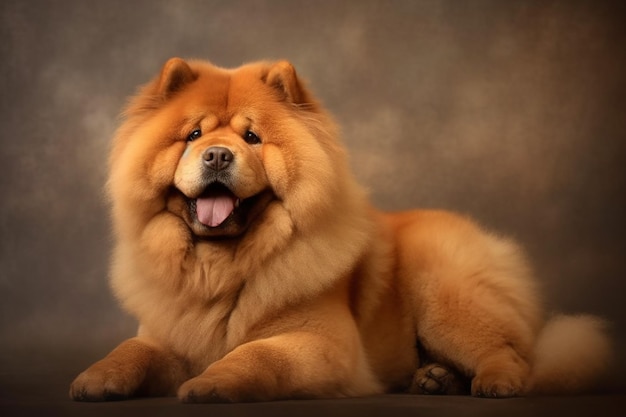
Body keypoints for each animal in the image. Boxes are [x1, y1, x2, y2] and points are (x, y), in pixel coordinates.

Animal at [69, 57, 608, 400]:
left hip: (445, 300)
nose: (218, 155)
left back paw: (495, 382)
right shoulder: (166, 334)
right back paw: (435, 380)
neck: (220, 268)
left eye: (252, 137)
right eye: (194, 134)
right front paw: (97, 378)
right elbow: (132, 350)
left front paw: (212, 383)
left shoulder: (323, 345)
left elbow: (257, 355)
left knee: (509, 352)